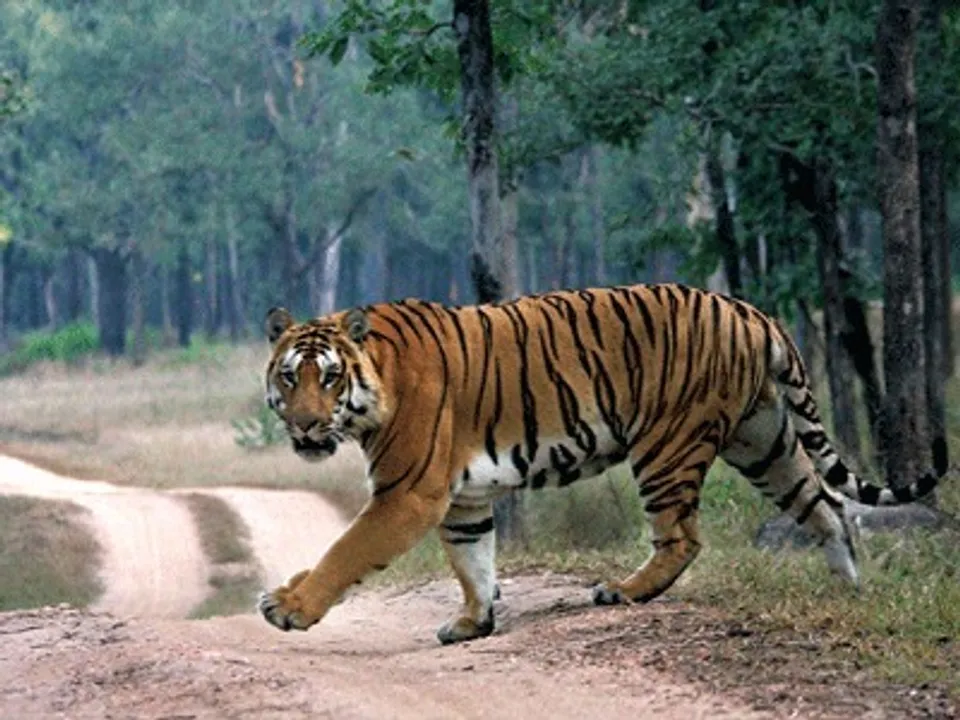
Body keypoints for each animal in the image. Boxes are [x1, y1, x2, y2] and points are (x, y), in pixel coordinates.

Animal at [257, 283, 946, 644]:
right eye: (290, 378)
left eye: (329, 378)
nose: (306, 425)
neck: (376, 388)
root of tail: (749, 310)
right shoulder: (463, 500)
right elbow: (473, 562)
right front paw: (473, 622)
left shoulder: (410, 493)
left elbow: (346, 550)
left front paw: (290, 606)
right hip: (764, 442)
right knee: (826, 506)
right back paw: (849, 590)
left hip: (668, 444)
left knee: (683, 537)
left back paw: (623, 590)